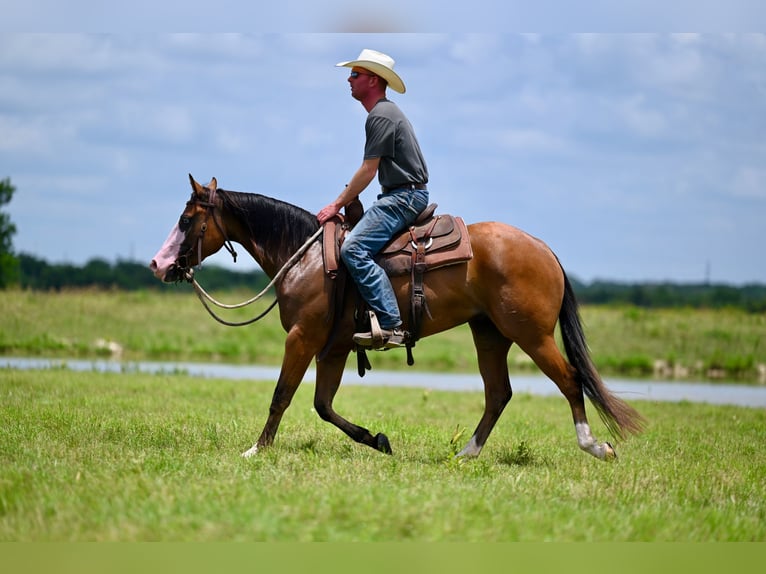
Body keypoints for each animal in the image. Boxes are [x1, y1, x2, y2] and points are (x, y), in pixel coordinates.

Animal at [148, 176, 640, 464]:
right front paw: (377, 439)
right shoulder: (334, 347)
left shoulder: (302, 338)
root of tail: (544, 249)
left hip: (531, 334)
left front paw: (257, 449)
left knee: (570, 380)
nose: (158, 264)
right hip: (490, 334)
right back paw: (466, 454)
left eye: (187, 219)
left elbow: (282, 396)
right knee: (498, 393)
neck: (306, 257)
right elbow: (323, 406)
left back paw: (595, 446)